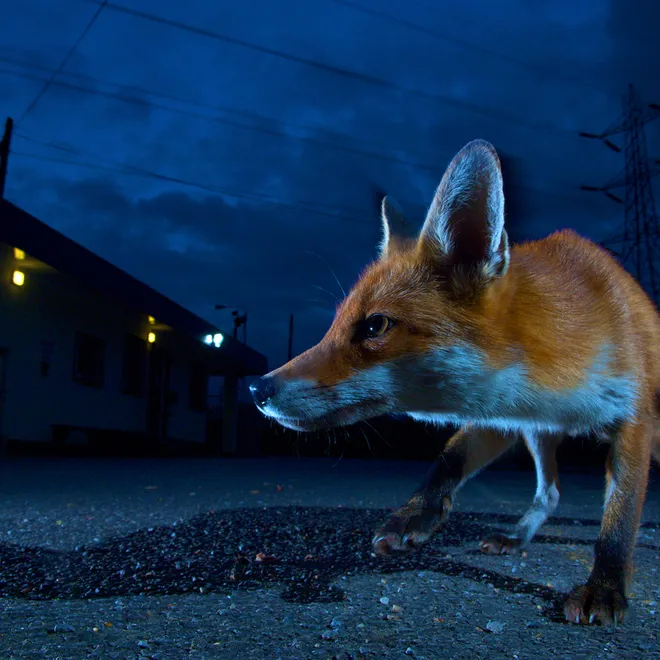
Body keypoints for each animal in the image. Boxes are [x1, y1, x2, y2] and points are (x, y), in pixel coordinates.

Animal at [250, 139, 660, 626]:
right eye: (333, 326)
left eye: (374, 326)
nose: (257, 389)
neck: (555, 358)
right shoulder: (503, 415)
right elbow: (448, 459)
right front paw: (415, 515)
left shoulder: (634, 419)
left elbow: (620, 516)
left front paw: (606, 586)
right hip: (538, 435)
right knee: (550, 493)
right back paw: (517, 537)